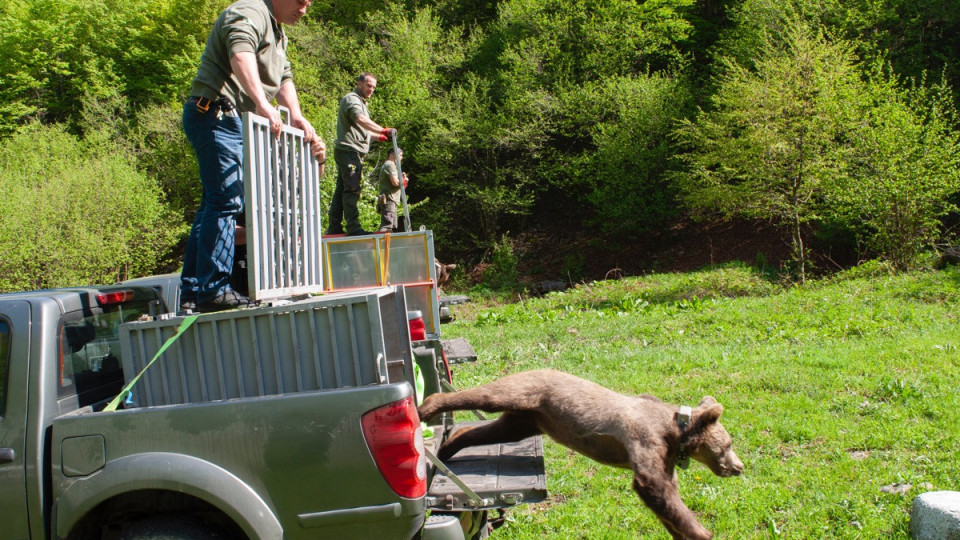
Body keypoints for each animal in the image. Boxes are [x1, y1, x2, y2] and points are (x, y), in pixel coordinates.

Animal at [418, 370, 744, 536]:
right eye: (727, 445)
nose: (739, 467)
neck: (674, 434)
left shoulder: (664, 458)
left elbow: (665, 501)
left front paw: (680, 529)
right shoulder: (644, 439)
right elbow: (652, 486)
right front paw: (701, 531)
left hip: (527, 421)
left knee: (491, 430)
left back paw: (448, 447)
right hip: (526, 392)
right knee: (486, 396)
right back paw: (427, 407)